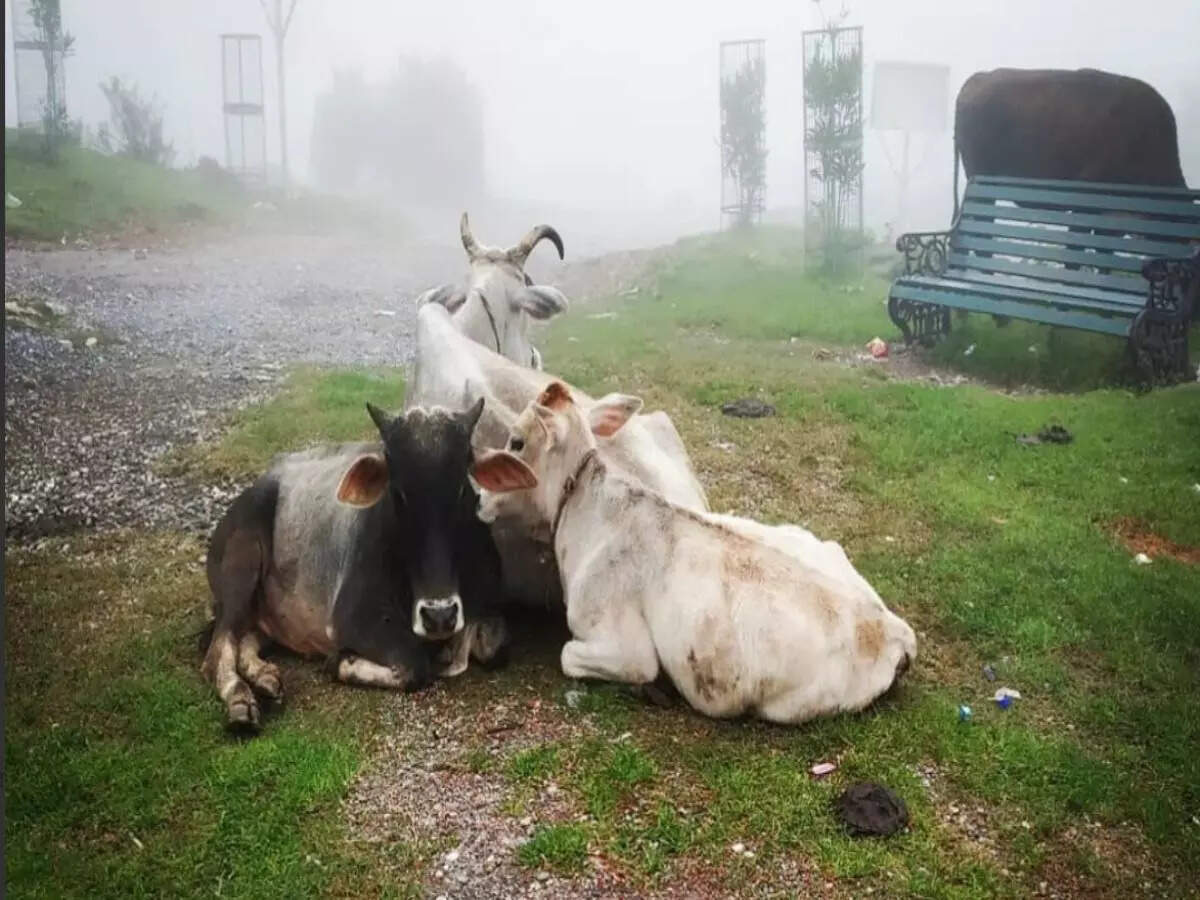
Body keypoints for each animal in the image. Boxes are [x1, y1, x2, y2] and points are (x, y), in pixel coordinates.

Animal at [201, 399, 508, 731]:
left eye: (462, 488)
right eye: (398, 492)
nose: (439, 617)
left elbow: (494, 646)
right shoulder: (351, 620)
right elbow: (413, 665)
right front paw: (341, 662)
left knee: (244, 639)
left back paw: (265, 678)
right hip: (240, 567)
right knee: (218, 649)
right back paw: (240, 700)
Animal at [470, 382, 918, 725]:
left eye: (516, 441)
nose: (479, 497)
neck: (588, 510)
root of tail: (896, 632)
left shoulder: (625, 649)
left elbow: (568, 655)